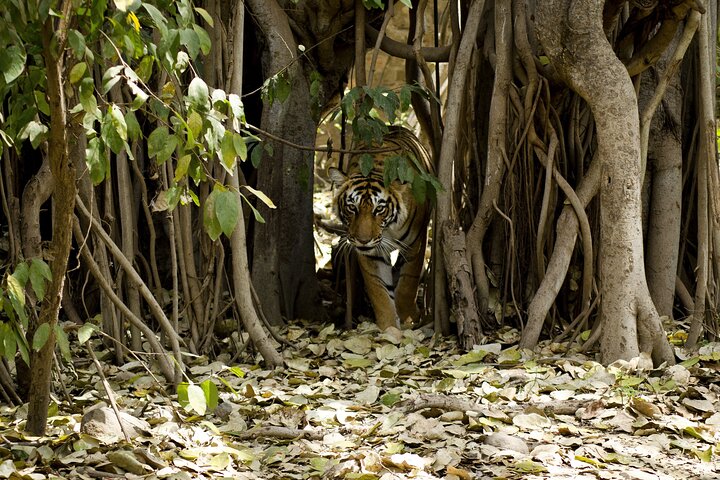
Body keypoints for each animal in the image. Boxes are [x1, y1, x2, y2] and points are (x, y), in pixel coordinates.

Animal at [328, 126, 434, 330]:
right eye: (352, 207)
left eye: (379, 209)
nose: (363, 240)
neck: (388, 231)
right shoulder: (371, 254)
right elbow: (379, 291)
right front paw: (389, 328)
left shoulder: (416, 242)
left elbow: (408, 282)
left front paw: (407, 319)